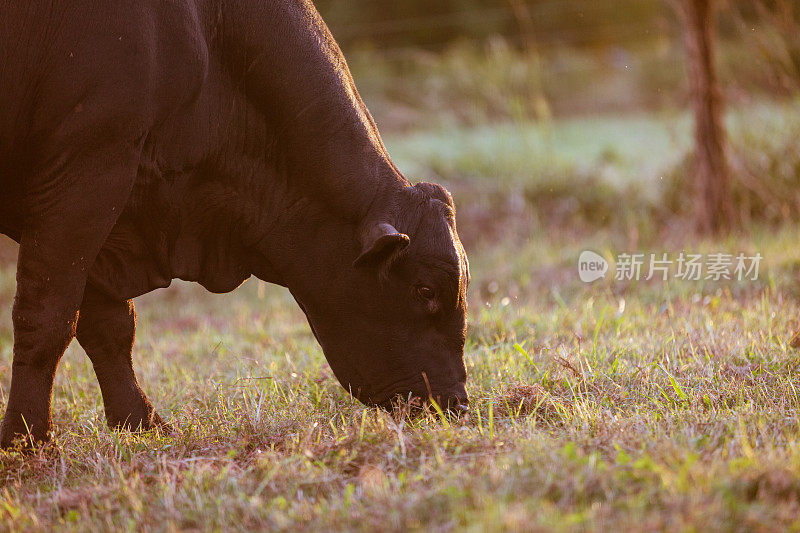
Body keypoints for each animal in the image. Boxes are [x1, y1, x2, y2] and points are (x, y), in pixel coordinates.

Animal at [0, 1, 468, 444]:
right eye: (425, 290)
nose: (455, 403)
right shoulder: (87, 176)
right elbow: (46, 320)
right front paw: (27, 438)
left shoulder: (107, 210)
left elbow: (110, 327)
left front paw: (140, 422)